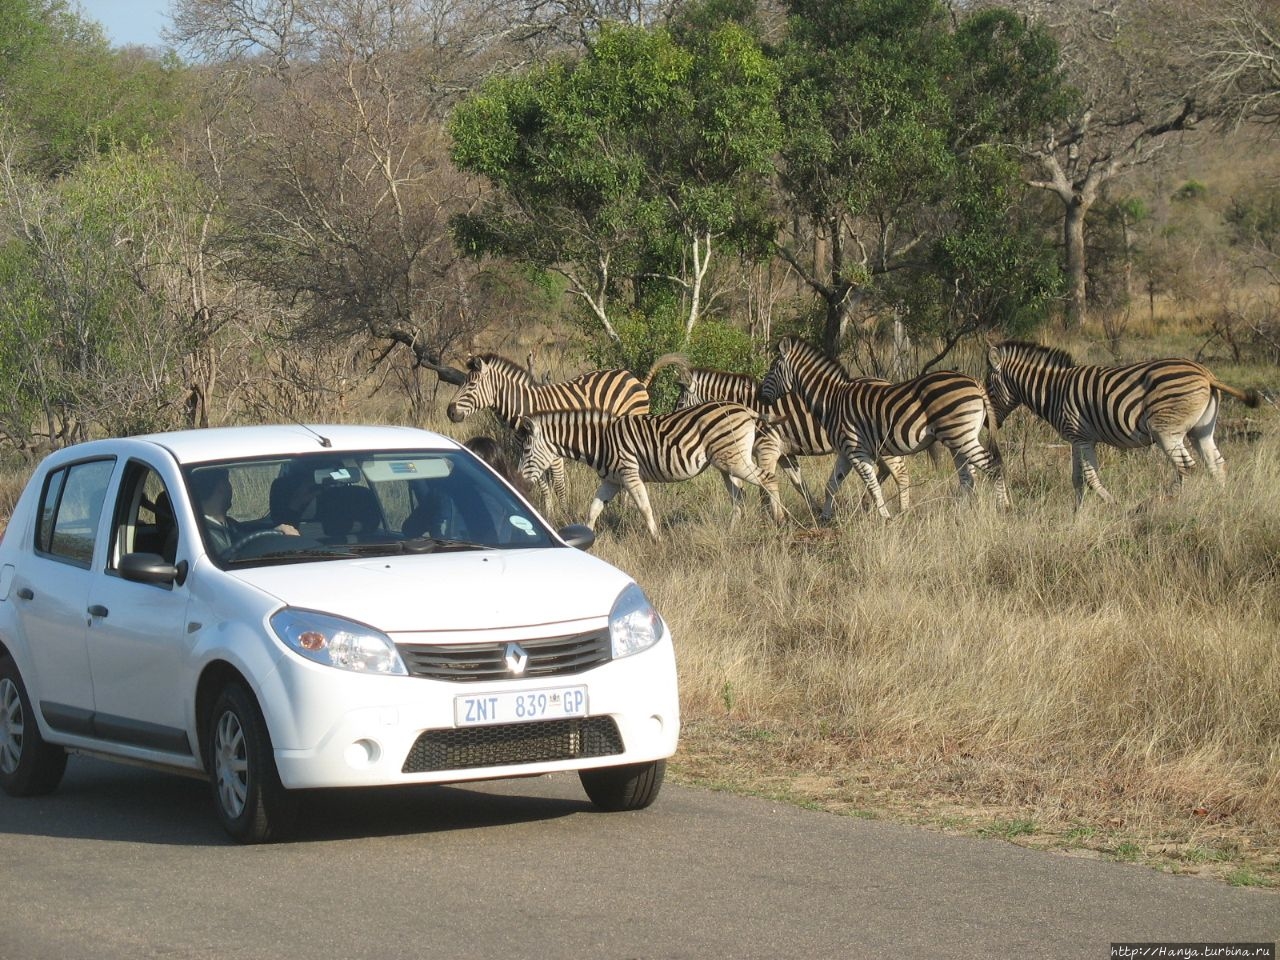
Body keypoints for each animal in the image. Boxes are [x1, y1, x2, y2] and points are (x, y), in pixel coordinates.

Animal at [448, 353, 650, 514]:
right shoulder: (530, 450)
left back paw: (624, 508)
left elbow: (559, 484)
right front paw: (549, 513)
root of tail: (629, 375)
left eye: (472, 384)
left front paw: (565, 514)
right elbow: (543, 485)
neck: (526, 410)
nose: (450, 412)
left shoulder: (554, 451)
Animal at [514, 399, 783, 542]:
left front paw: (657, 539)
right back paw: (730, 531)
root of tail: (745, 409)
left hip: (733, 460)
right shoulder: (611, 481)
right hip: (727, 463)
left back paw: (779, 520)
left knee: (769, 479)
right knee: (739, 495)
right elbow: (593, 509)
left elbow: (644, 507)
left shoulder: (629, 473)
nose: (518, 482)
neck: (599, 441)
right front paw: (586, 538)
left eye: (525, 450)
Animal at [650, 355, 911, 519]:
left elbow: (764, 486)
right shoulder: (785, 453)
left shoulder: (767, 448)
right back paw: (869, 503)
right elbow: (799, 484)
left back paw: (896, 509)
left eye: (680, 404)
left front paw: (769, 517)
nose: (671, 426)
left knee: (896, 471)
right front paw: (814, 510)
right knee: (884, 470)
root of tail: (886, 381)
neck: (748, 406)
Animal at [757, 335, 1008, 522]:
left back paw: (1003, 506)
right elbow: (832, 484)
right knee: (968, 477)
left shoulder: (856, 450)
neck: (832, 400)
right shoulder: (845, 452)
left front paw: (885, 516)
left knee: (993, 465)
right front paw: (825, 517)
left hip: (960, 435)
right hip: (959, 438)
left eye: (773, 368)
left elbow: (872, 484)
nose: (759, 396)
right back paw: (960, 513)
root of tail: (975, 382)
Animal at [983, 340, 1264, 506]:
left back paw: (1167, 501)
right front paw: (1077, 514)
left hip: (1165, 431)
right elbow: (1077, 478)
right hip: (1201, 430)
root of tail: (1206, 374)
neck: (1053, 390)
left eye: (988, 388)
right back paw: (1220, 502)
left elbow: (1090, 477)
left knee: (1187, 466)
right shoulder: (1076, 438)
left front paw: (1112, 505)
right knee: (1216, 464)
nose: (986, 424)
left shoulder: (1081, 436)